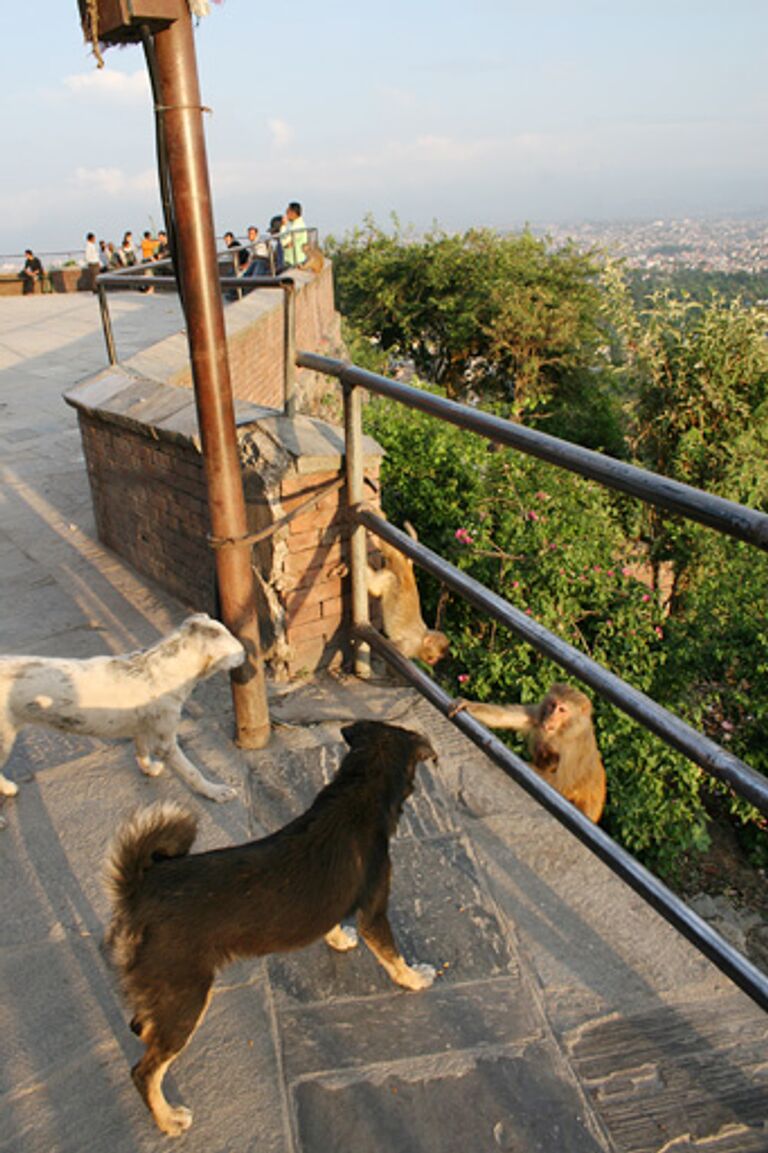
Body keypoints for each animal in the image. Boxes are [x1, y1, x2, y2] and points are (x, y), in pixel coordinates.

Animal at [0, 618, 243, 807]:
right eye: (237, 647)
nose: (246, 654)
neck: (164, 667)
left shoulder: (143, 727)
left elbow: (141, 750)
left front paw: (149, 769)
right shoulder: (164, 741)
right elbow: (193, 772)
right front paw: (216, 791)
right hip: (4, 738)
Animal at [103, 719, 435, 1134]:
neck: (359, 788)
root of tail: (139, 889)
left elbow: (330, 923)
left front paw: (339, 939)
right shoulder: (374, 913)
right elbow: (394, 958)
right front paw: (415, 978)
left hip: (166, 993)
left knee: (143, 1028)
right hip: (187, 997)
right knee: (145, 1071)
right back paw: (168, 1120)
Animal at [364, 523, 449, 668]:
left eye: (438, 658)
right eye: (434, 656)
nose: (434, 662)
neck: (422, 638)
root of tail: (408, 572)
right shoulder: (411, 645)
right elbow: (393, 647)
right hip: (397, 572)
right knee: (388, 578)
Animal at [449, 677, 604, 825]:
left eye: (562, 710)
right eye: (552, 705)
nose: (550, 717)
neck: (561, 731)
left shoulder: (573, 751)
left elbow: (560, 783)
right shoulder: (538, 715)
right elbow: (504, 717)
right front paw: (467, 704)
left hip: (590, 805)